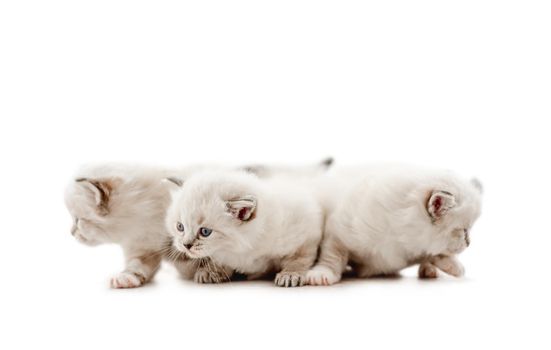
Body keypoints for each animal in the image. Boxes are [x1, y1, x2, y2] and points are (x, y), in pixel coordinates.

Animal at [166, 170, 326, 288]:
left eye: (205, 232)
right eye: (180, 227)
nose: (186, 245)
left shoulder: (306, 233)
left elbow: (299, 258)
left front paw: (290, 274)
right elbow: (221, 260)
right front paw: (210, 271)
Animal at [308, 163, 486, 284]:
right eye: (464, 230)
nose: (469, 243)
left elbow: (433, 254)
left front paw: (453, 267)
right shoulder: (337, 232)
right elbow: (332, 256)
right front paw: (322, 274)